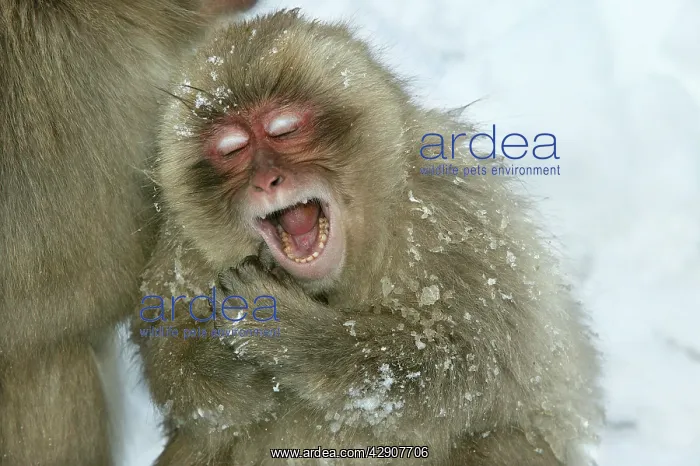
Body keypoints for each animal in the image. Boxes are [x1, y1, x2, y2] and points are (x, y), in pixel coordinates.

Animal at [133, 9, 603, 465]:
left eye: (284, 129)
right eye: (232, 149)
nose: (267, 180)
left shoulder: (456, 213)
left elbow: (474, 365)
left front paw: (287, 330)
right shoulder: (182, 251)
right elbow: (178, 384)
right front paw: (224, 363)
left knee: (497, 438)